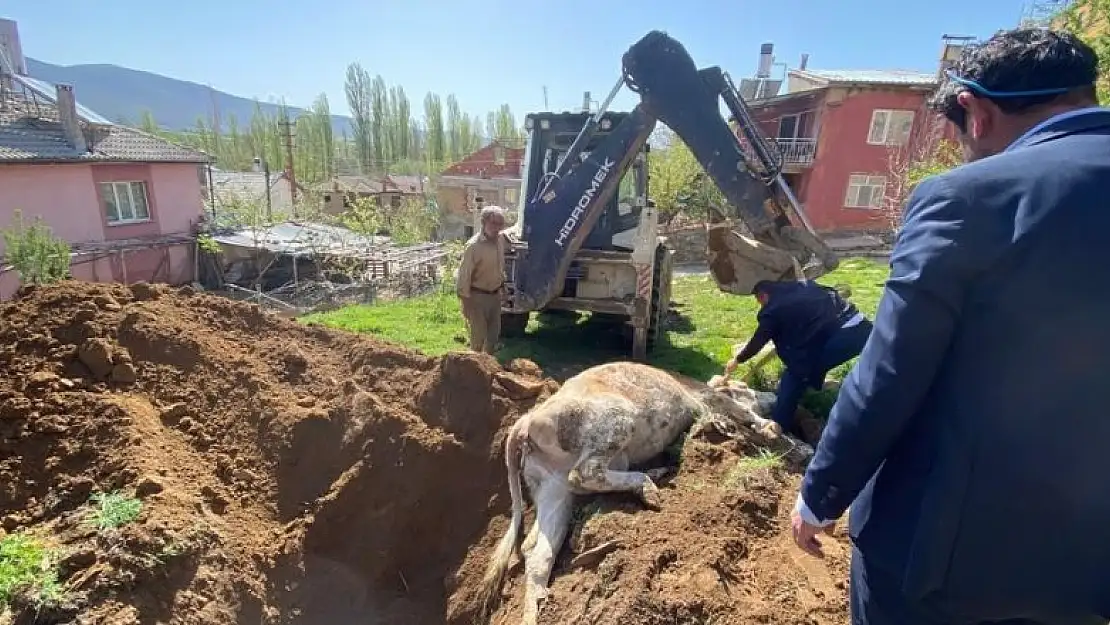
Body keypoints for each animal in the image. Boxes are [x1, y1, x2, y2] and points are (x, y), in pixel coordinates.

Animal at [477, 361, 781, 625]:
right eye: (745, 386)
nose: (772, 394)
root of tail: (526, 420)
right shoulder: (708, 399)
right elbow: (740, 411)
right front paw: (769, 426)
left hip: (553, 488)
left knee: (537, 552)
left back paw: (536, 609)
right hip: (614, 421)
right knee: (585, 473)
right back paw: (649, 486)